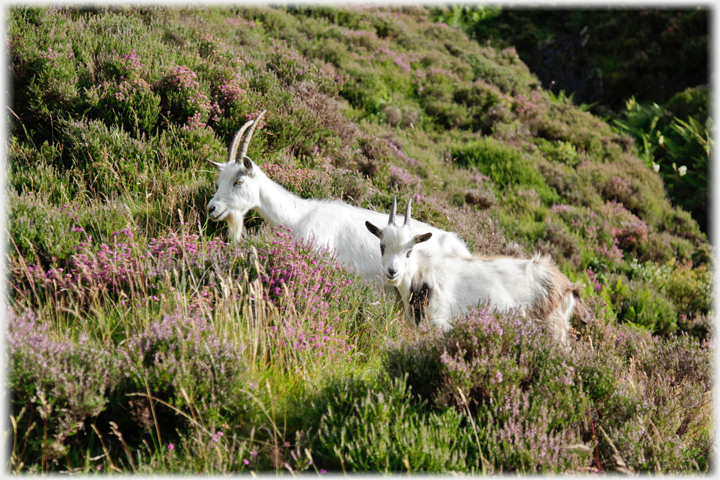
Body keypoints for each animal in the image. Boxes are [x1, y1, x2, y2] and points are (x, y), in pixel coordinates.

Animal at [366, 200, 592, 344]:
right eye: (382, 246)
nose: (392, 272)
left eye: (409, 251)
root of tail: (566, 285)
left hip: (552, 328)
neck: (421, 276)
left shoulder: (441, 322)